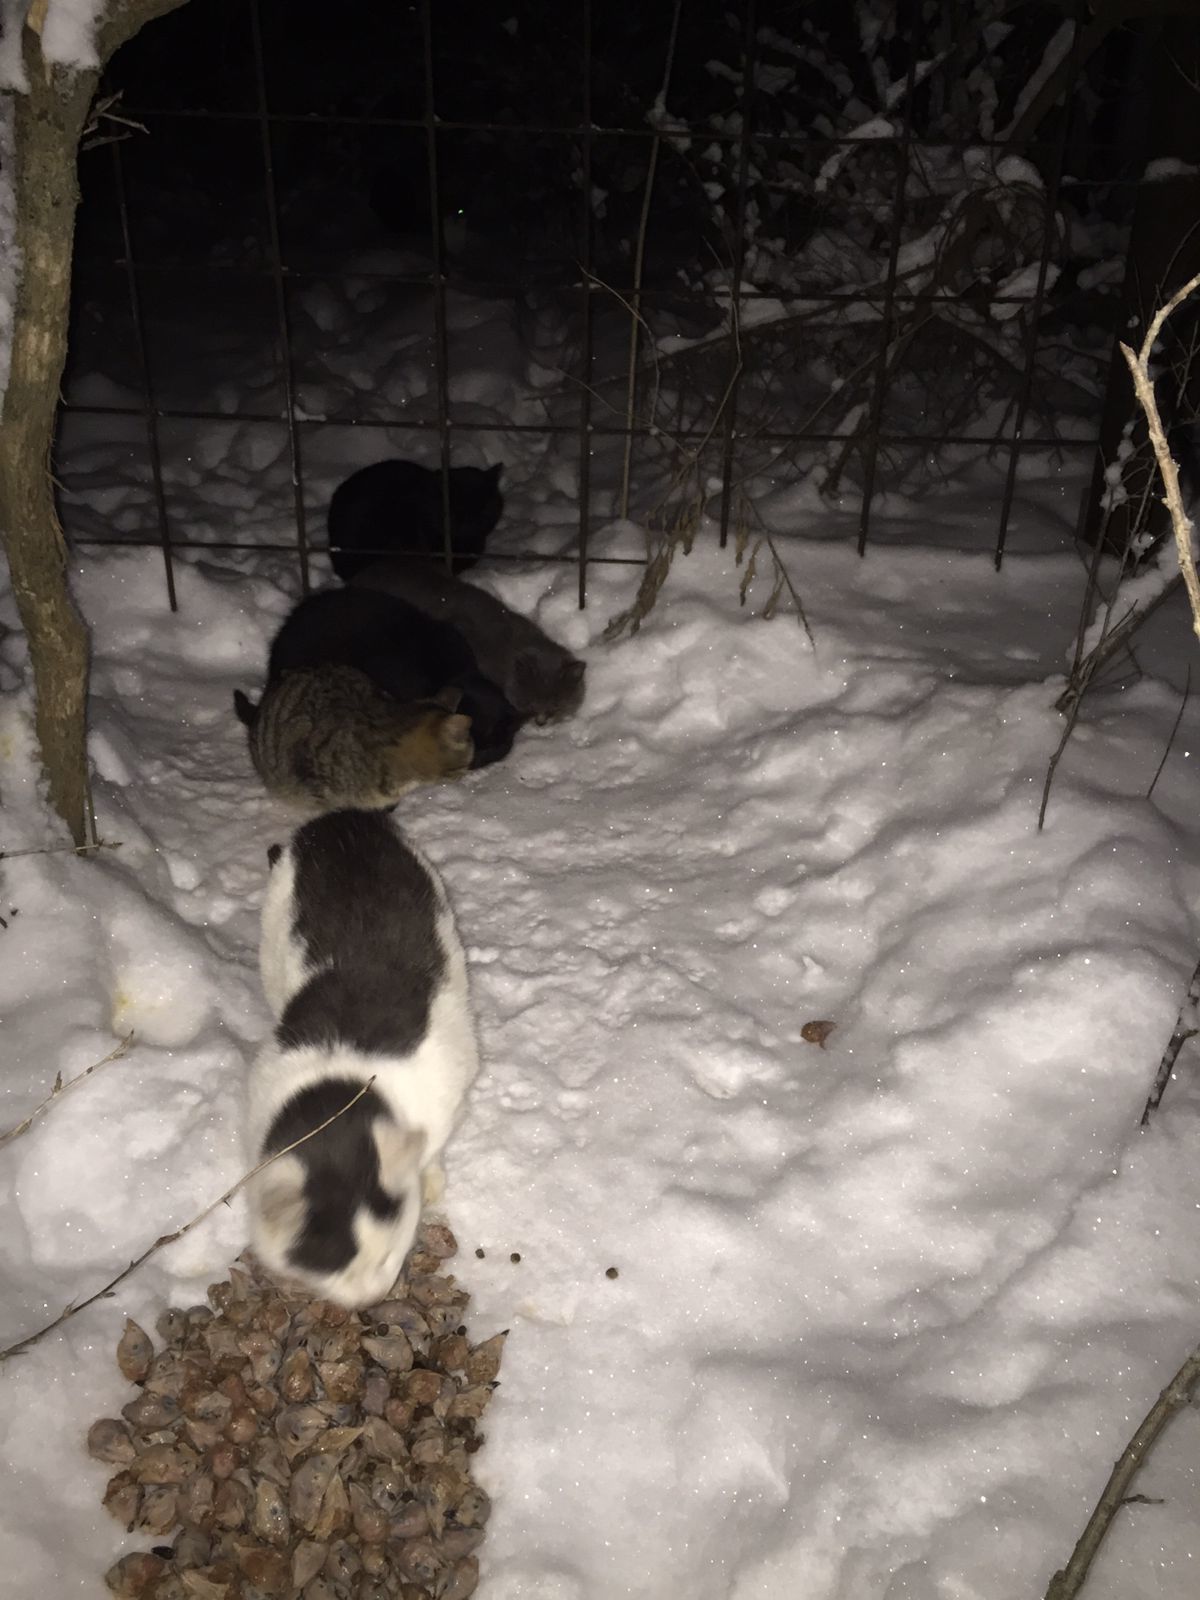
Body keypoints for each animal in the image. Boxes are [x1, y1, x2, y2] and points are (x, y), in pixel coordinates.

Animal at [246, 806, 476, 1305]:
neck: (342, 1091)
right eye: (334, 1270)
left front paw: (430, 1182)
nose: (373, 1298)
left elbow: (433, 1151)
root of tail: (340, 816)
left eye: (388, 1258)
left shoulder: (445, 1096)